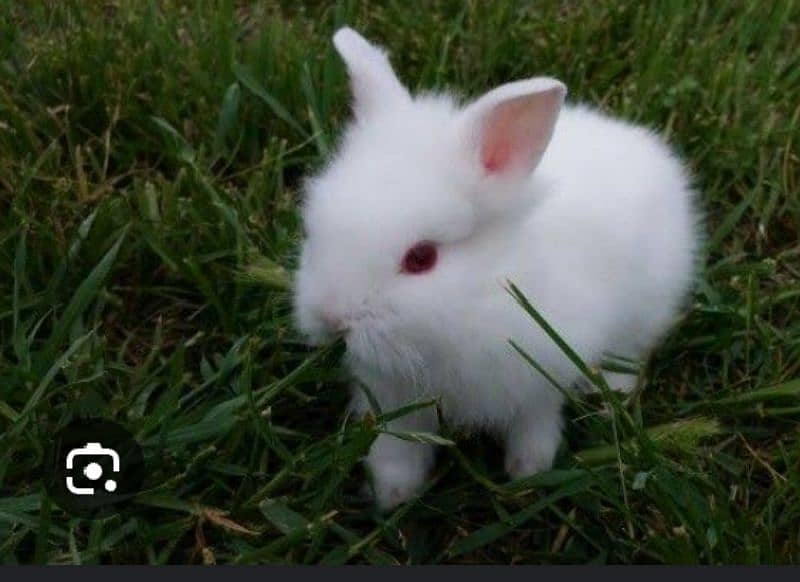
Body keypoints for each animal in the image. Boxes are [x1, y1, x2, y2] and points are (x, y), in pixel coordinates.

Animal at [292, 28, 700, 512]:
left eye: (421, 258)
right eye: (313, 229)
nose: (332, 319)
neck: (476, 300)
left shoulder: (542, 371)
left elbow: (536, 422)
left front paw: (528, 472)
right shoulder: (392, 393)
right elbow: (397, 445)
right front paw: (392, 494)